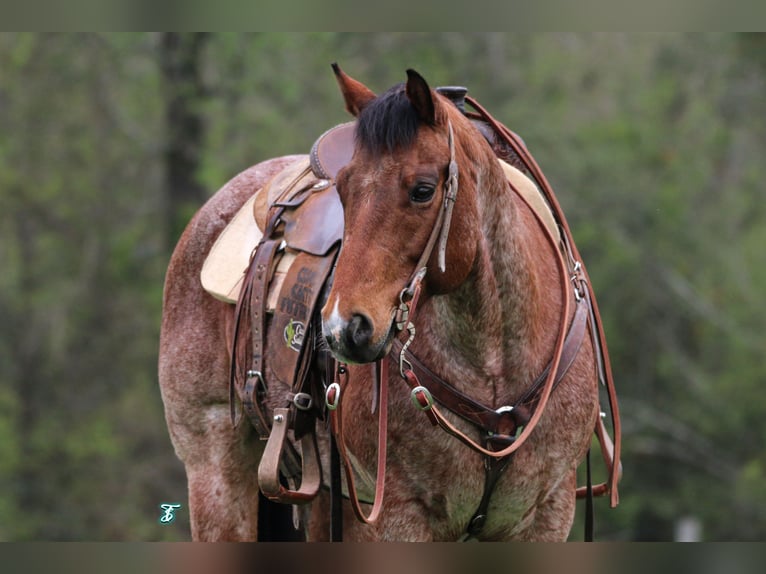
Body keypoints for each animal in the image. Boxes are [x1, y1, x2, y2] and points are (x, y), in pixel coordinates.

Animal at [159, 65, 620, 544]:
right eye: (342, 190)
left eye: (423, 190)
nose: (343, 328)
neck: (494, 365)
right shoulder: (401, 515)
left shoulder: (546, 514)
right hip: (217, 471)